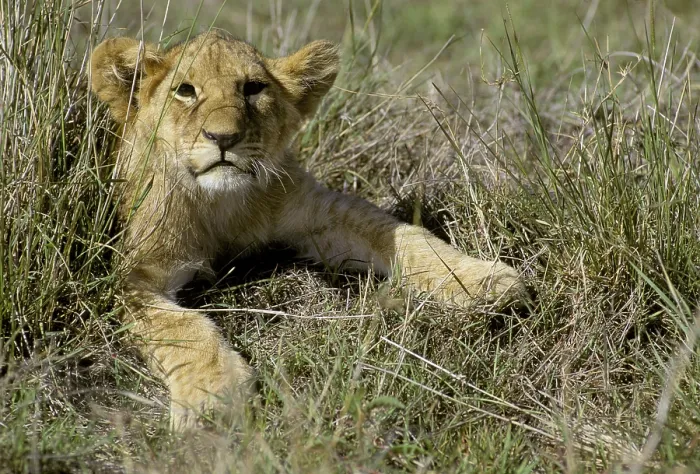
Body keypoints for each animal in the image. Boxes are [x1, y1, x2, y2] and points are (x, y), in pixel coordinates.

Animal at [90, 31, 524, 429]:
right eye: (185, 90)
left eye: (253, 88)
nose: (224, 138)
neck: (221, 204)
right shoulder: (132, 276)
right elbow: (182, 327)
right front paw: (213, 396)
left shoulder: (320, 211)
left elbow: (407, 236)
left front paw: (481, 279)